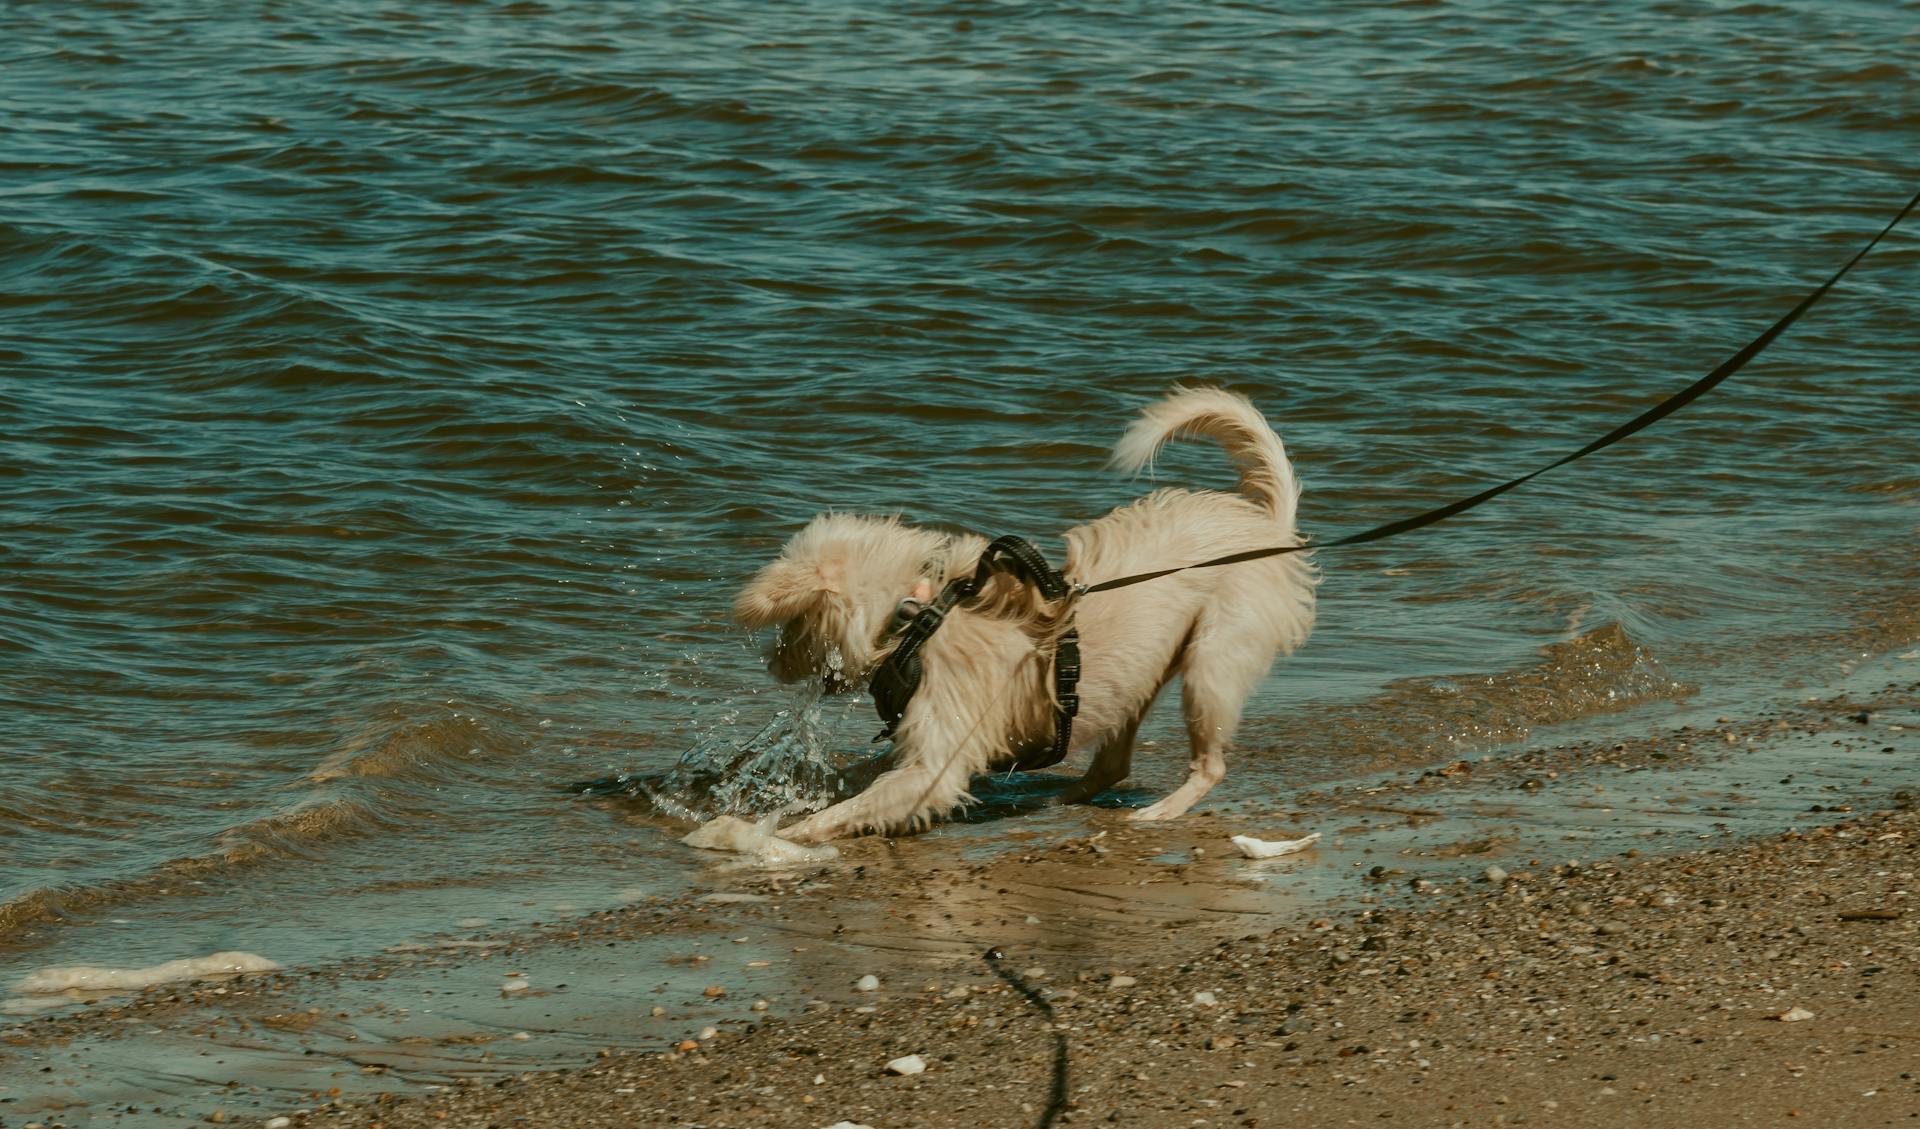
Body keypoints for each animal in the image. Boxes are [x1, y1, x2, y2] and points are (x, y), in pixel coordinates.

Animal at [737, 387, 1320, 837]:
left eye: (792, 625)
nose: (772, 666)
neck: (918, 615)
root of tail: (1266, 527)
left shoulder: (933, 767)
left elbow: (846, 811)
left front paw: (769, 838)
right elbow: (863, 775)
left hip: (1211, 665)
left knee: (1210, 764)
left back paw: (1158, 812)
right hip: (1141, 672)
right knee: (1114, 764)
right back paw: (1052, 799)